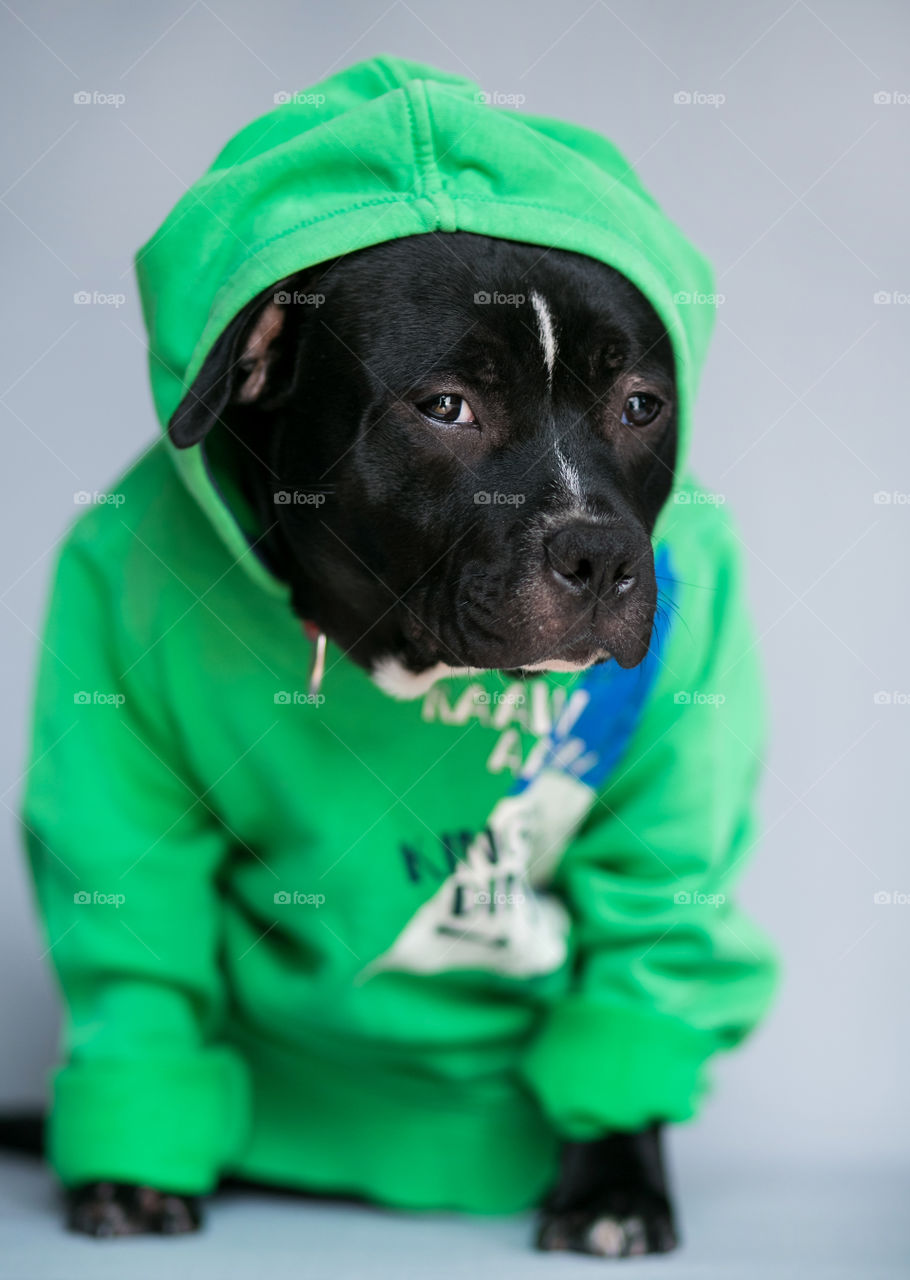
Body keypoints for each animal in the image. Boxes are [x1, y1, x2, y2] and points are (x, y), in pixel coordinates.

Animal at [63, 235, 675, 1254]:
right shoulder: (124, 771)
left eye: (641, 405)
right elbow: (137, 965)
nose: (599, 554)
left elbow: (638, 965)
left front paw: (615, 1187)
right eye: (445, 407)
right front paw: (131, 1175)